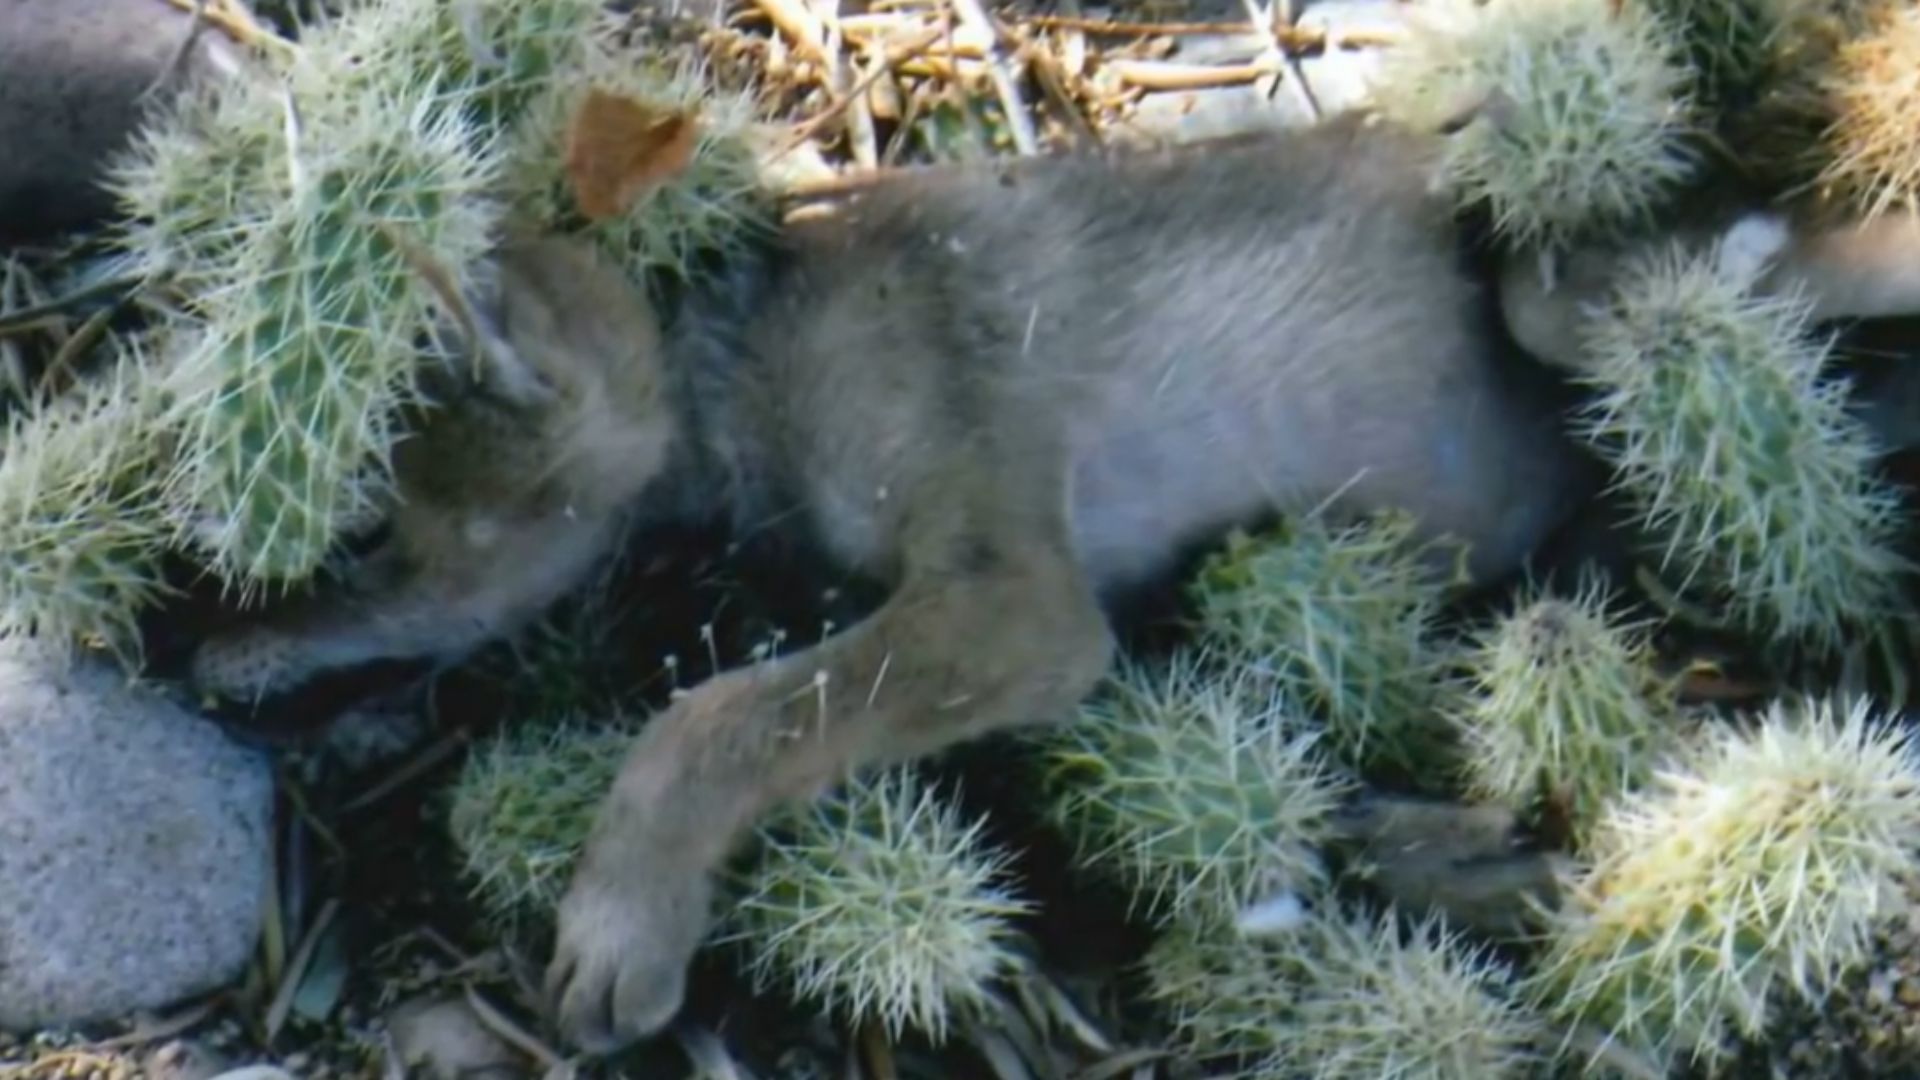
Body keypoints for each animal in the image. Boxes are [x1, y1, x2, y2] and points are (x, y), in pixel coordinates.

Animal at [185, 109, 1920, 1054]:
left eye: (354, 531)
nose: (192, 653)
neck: (742, 367)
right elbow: (732, 690)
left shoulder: (1013, 600)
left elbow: (712, 719)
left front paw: (622, 922)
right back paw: (1447, 849)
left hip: (1562, 291)